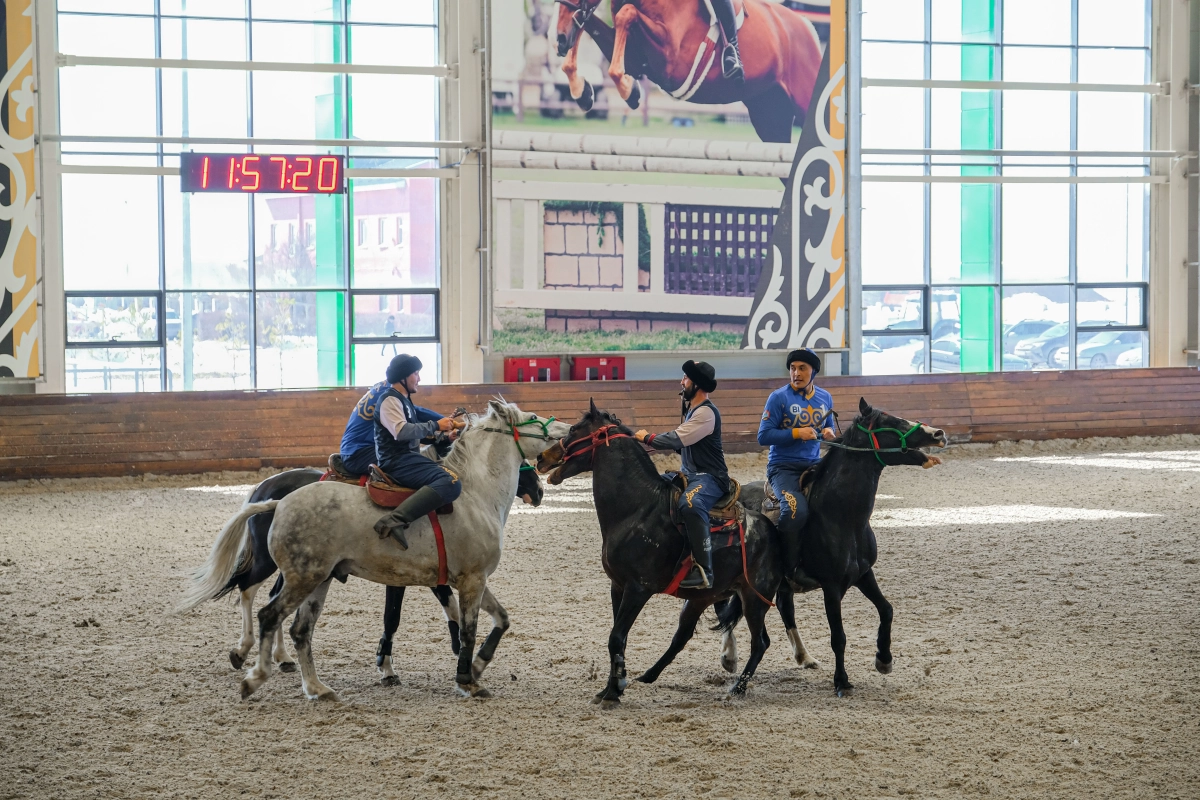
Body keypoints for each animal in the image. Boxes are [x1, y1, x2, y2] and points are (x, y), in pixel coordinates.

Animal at [218, 462, 547, 681]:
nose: (539, 490)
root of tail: (264, 488)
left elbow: (442, 606)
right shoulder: (414, 575)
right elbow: (396, 616)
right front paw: (389, 665)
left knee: (272, 598)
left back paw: (282, 657)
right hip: (270, 561)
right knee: (249, 590)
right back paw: (245, 649)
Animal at [540, 400, 782, 705]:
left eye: (573, 429)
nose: (542, 457)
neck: (637, 510)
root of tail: (771, 528)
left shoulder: (638, 589)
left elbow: (616, 637)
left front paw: (614, 691)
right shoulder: (618, 586)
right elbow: (619, 638)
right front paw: (611, 687)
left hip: (754, 598)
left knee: (760, 642)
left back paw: (737, 688)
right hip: (703, 597)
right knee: (683, 636)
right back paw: (648, 675)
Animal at [554, 0, 825, 142]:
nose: (560, 39)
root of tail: (808, 26)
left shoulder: (671, 64)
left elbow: (626, 14)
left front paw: (629, 91)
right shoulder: (635, 59)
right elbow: (590, 21)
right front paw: (582, 91)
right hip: (769, 116)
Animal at [710, 398, 945, 695]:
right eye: (891, 422)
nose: (938, 433)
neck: (842, 517)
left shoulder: (863, 574)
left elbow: (887, 610)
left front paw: (884, 660)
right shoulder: (832, 587)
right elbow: (838, 637)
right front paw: (841, 681)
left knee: (783, 609)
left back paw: (804, 656)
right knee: (724, 608)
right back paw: (729, 657)